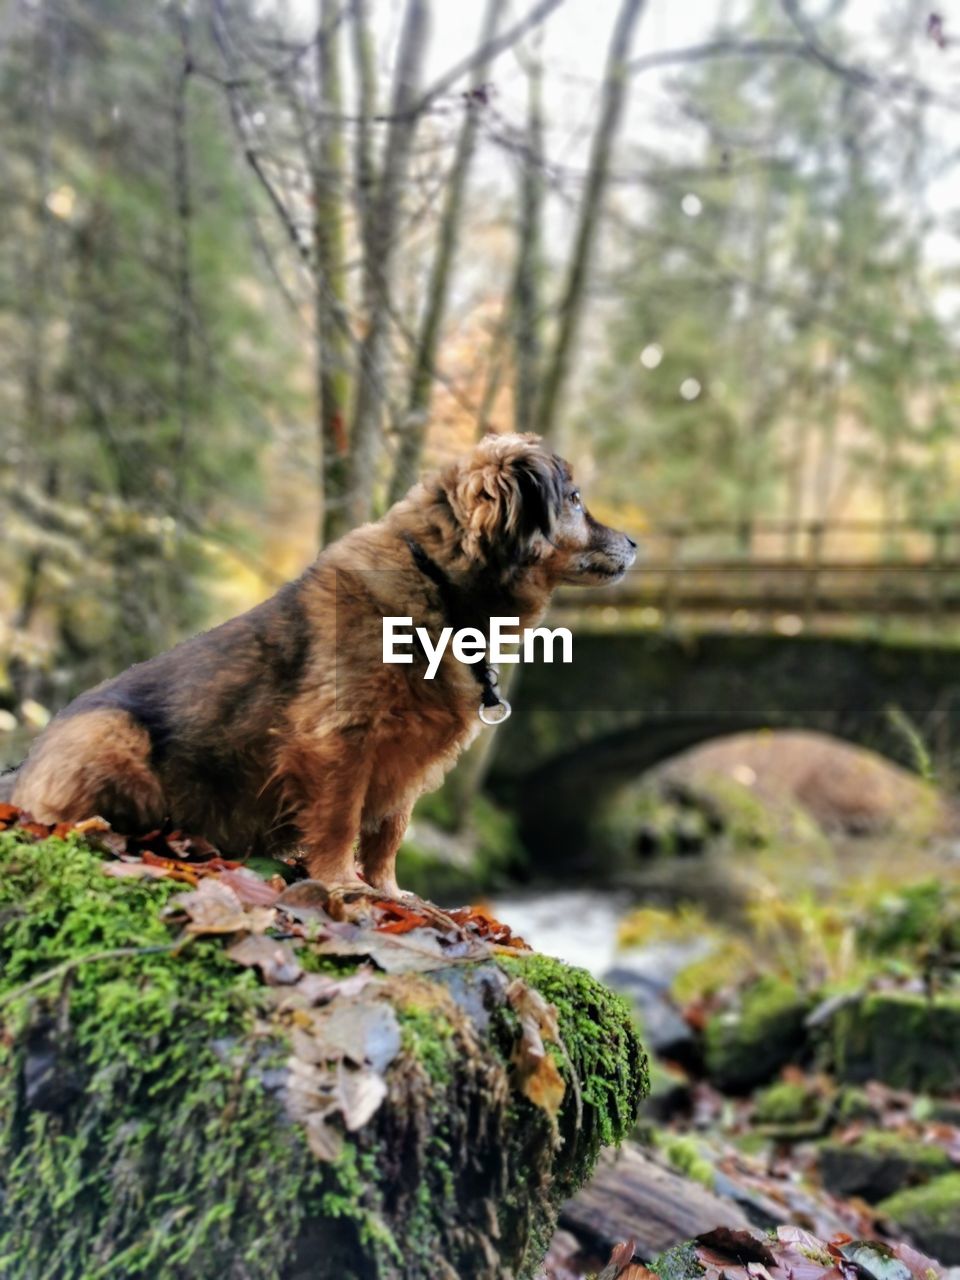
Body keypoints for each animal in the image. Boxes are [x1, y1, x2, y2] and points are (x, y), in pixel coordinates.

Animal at [11, 435, 640, 896]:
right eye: (574, 499)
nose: (636, 544)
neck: (441, 586)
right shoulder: (338, 738)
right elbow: (341, 818)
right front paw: (342, 884)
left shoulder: (405, 759)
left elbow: (389, 832)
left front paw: (389, 892)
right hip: (110, 734)